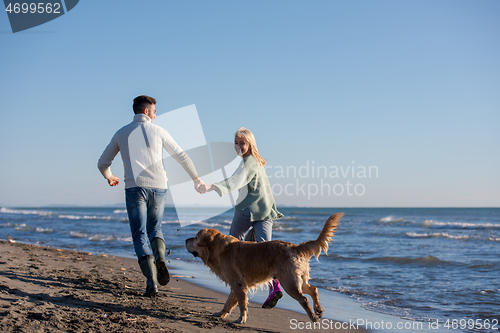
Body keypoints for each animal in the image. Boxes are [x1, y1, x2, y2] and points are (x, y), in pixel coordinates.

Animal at [186, 211, 342, 322]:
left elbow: (242, 304)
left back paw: (313, 316)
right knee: (313, 289)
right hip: (297, 280)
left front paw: (241, 319)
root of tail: (295, 246)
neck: (219, 249)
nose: (186, 239)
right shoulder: (236, 285)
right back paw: (318, 310)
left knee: (304, 298)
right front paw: (221, 314)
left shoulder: (238, 284)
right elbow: (229, 302)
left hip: (288, 282)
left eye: (195, 237)